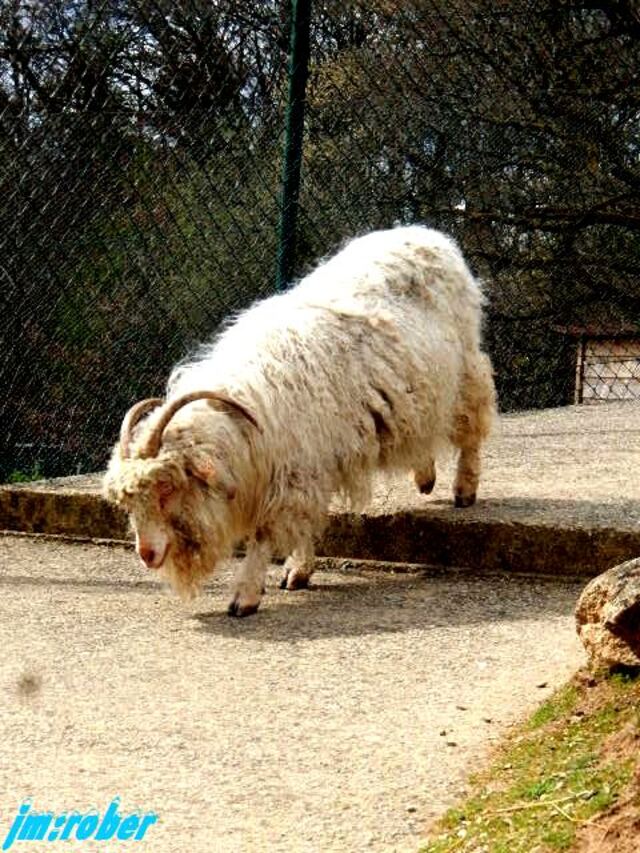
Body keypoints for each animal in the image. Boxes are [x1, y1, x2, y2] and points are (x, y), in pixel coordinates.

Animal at [104, 223, 496, 616]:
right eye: (128, 503)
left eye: (167, 488)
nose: (146, 554)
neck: (246, 420)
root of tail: (426, 234)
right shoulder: (311, 469)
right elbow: (307, 522)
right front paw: (299, 571)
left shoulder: (294, 474)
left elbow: (266, 534)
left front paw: (246, 595)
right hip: (417, 390)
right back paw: (425, 475)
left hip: (465, 372)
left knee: (471, 427)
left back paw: (464, 489)